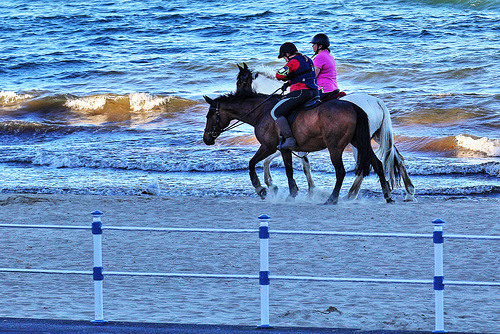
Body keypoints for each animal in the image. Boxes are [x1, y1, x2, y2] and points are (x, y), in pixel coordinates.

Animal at [203, 90, 394, 205]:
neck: (262, 111)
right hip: (359, 142)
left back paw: (333, 198)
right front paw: (292, 192)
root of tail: (354, 105)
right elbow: (291, 169)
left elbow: (253, 164)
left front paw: (262, 189)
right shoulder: (285, 149)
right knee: (377, 164)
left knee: (341, 171)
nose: (206, 139)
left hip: (335, 147)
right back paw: (387, 195)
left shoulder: (269, 147)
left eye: (210, 115)